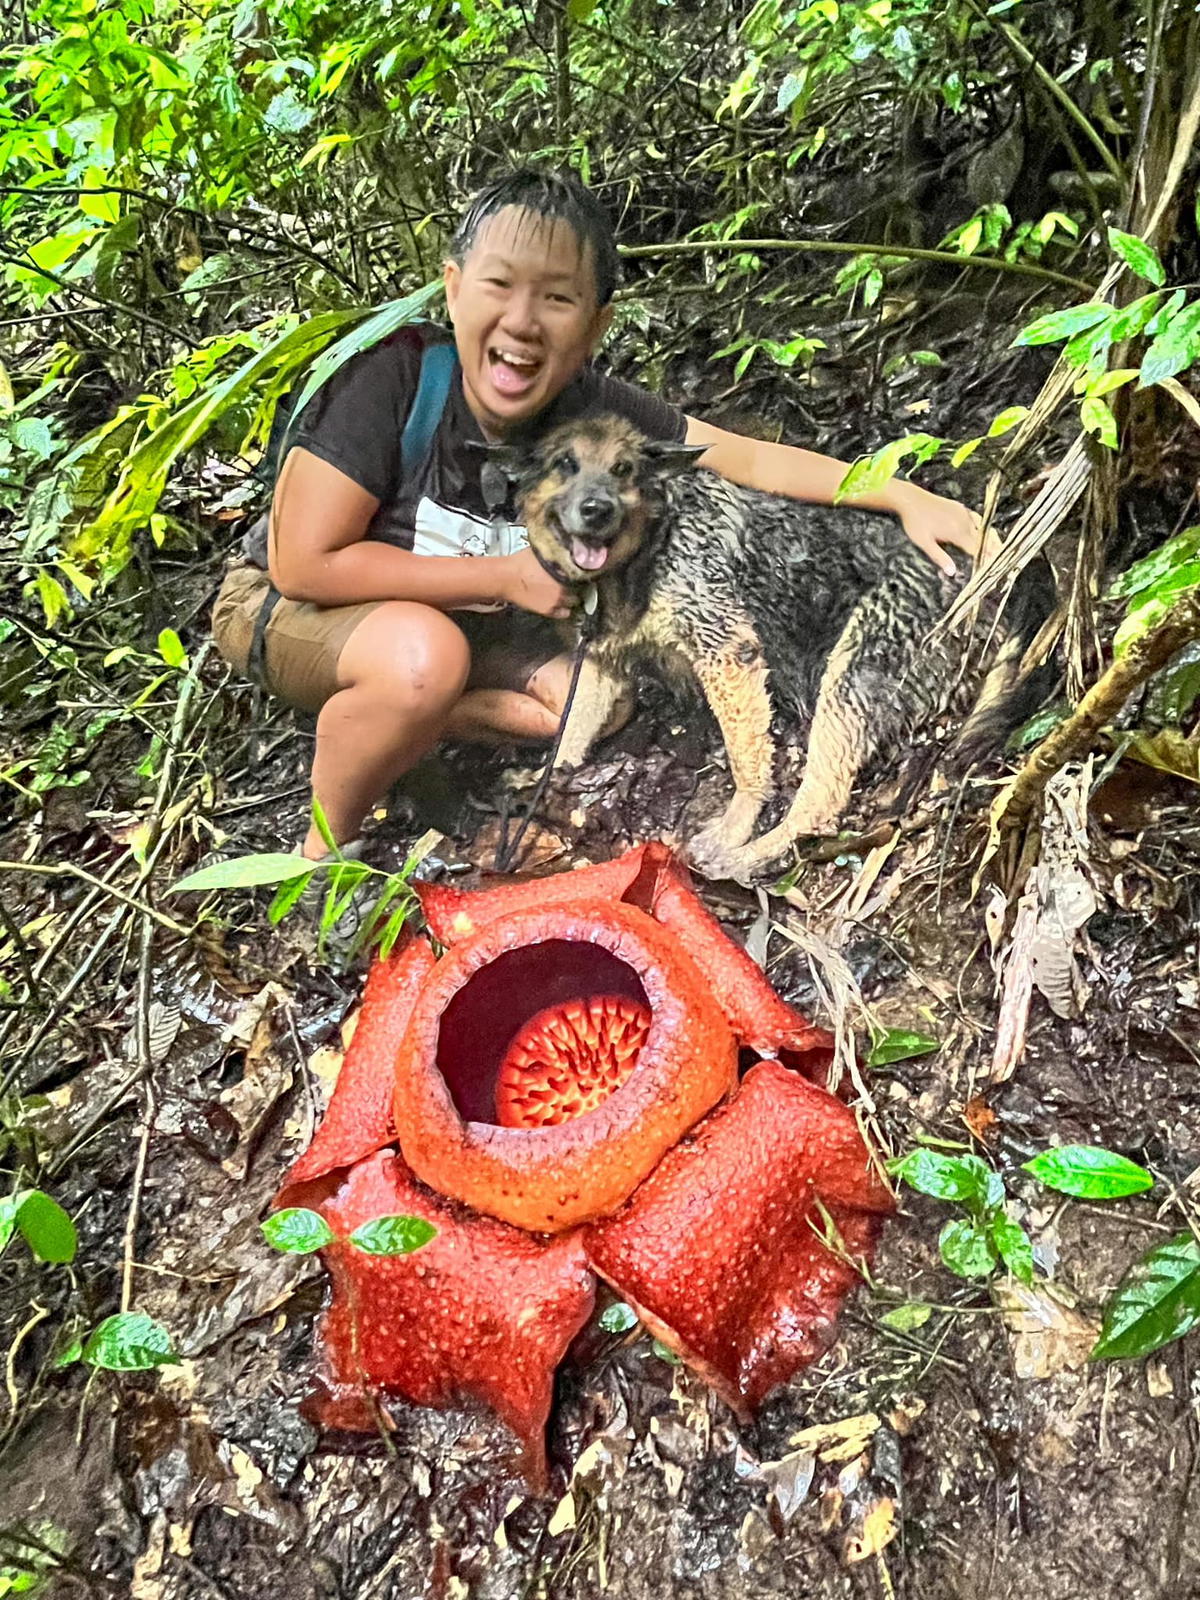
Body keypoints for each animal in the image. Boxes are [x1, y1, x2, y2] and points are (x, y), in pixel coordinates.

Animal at [492, 419, 1030, 883]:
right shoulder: (601, 661)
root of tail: (1001, 591)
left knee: (822, 800)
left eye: (623, 468)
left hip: (852, 669)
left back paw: (749, 855)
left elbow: (746, 758)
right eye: (564, 464)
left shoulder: (726, 649)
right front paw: (547, 772)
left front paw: (738, 820)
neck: (646, 546)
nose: (596, 510)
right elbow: (572, 727)